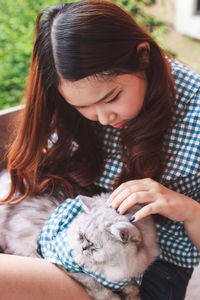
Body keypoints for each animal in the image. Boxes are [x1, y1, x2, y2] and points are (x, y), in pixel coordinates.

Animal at [0, 171, 159, 300]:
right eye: (81, 236)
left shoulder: (127, 277)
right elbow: (99, 287)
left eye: (96, 245)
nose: (83, 248)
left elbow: (133, 287)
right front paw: (113, 297)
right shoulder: (65, 265)